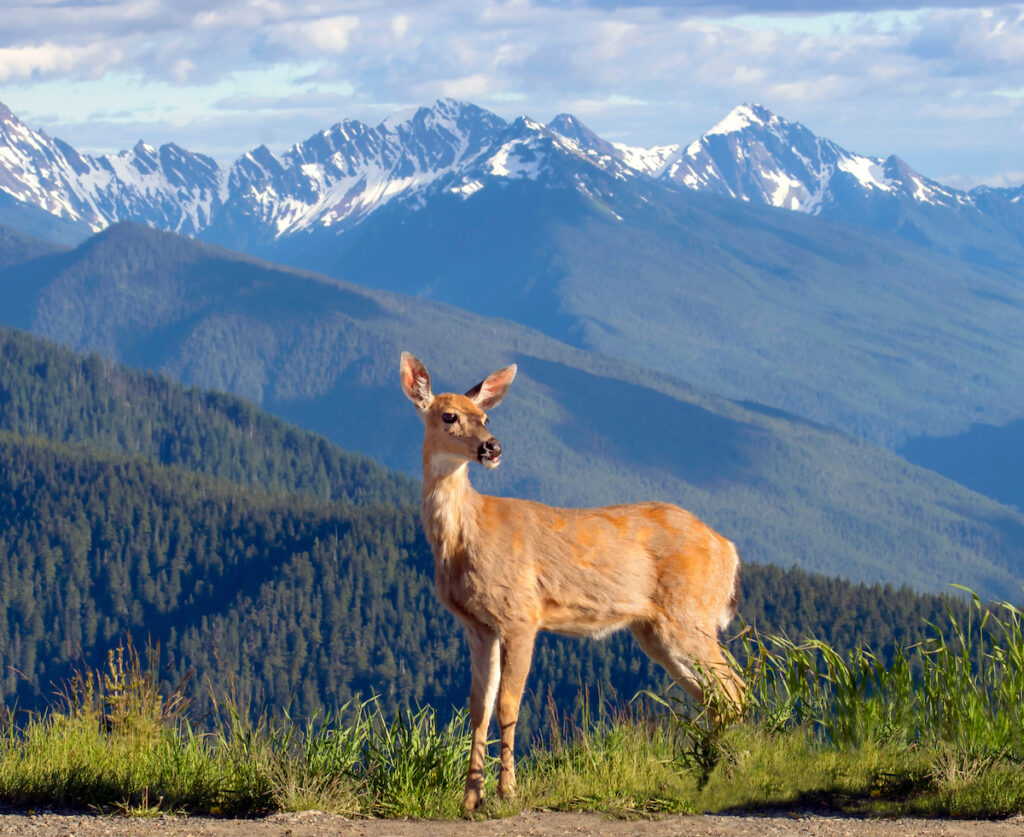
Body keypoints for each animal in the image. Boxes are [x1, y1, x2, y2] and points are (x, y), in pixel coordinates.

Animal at [399, 350, 745, 811]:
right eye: (449, 415)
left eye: (486, 417)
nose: (493, 447)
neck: (466, 536)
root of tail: (728, 549)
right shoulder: (477, 625)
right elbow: (479, 707)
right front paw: (469, 800)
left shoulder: (521, 614)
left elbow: (508, 705)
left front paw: (507, 793)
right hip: (657, 631)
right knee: (716, 698)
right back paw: (708, 776)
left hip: (689, 615)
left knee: (735, 691)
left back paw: (726, 776)